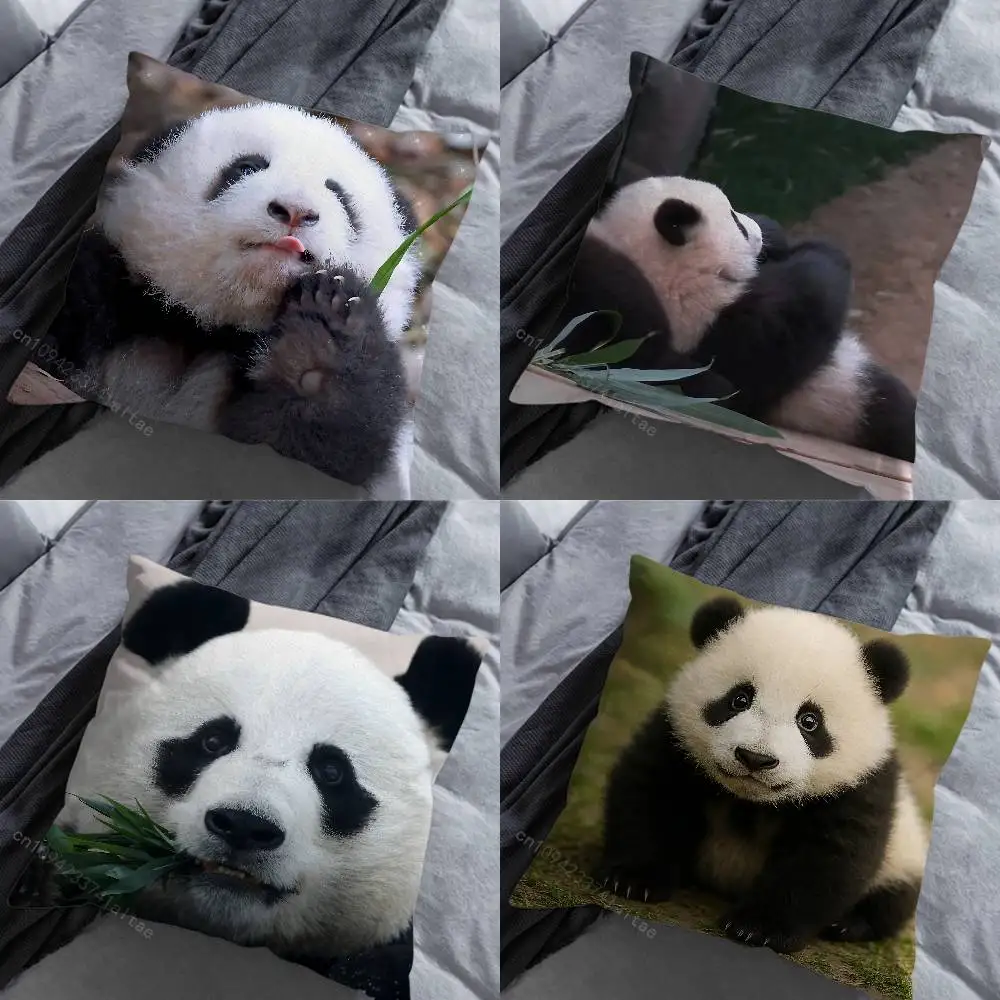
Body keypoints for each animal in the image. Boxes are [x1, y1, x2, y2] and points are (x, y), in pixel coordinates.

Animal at [50, 101, 421, 495]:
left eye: (339, 197)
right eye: (247, 167)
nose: (295, 210)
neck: (205, 328)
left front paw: (318, 348)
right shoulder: (118, 295)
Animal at [578, 176, 916, 462]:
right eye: (736, 222)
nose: (756, 229)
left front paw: (775, 233)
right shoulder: (709, 329)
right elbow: (775, 338)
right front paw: (822, 253)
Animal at [597, 596, 927, 954]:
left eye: (809, 721)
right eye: (739, 699)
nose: (755, 758)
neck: (753, 801)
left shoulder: (860, 783)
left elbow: (829, 854)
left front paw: (760, 927)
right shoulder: (676, 739)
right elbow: (652, 794)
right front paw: (635, 879)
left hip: (905, 855)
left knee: (894, 898)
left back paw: (849, 923)